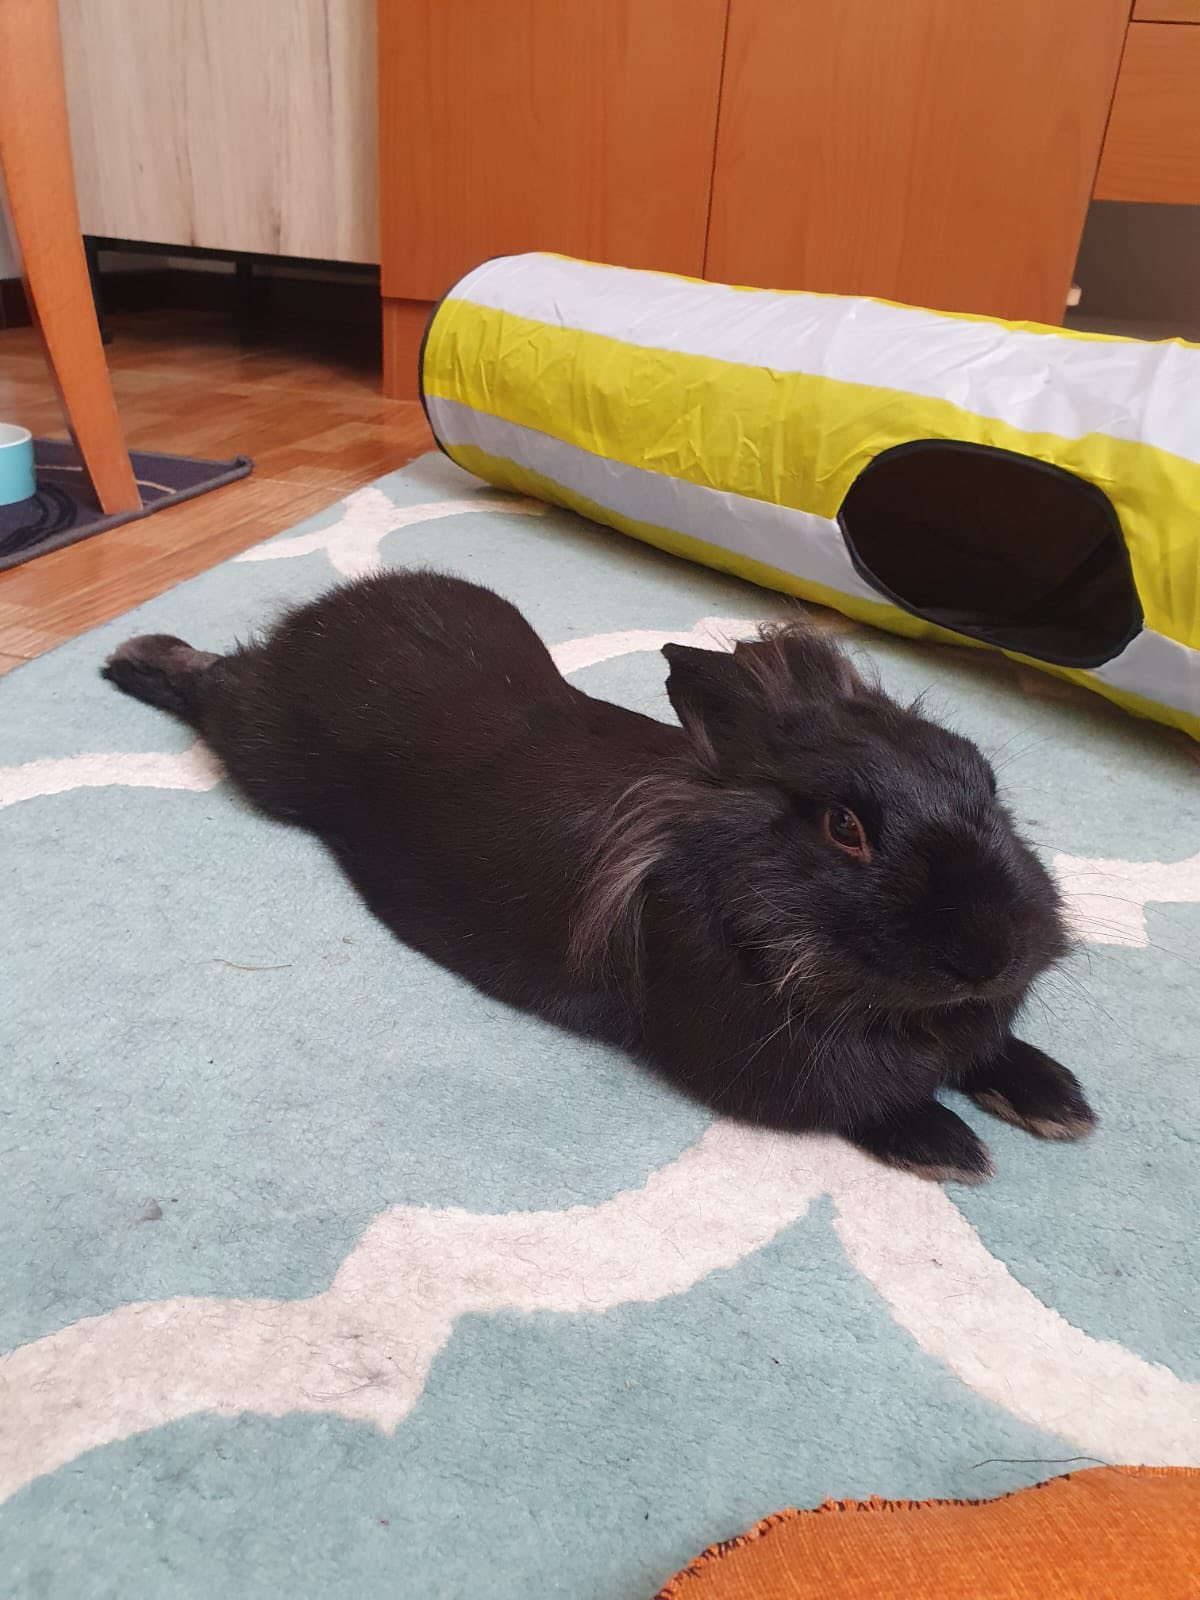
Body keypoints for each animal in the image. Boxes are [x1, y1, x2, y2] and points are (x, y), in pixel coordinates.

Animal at [102, 569, 1095, 1183]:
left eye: (984, 781)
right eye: (844, 828)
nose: (992, 955)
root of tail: (320, 614)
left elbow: (991, 1051)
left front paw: (1058, 1100)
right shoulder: (766, 1062)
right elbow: (858, 1101)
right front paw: (948, 1144)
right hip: (265, 756)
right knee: (217, 686)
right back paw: (134, 655)